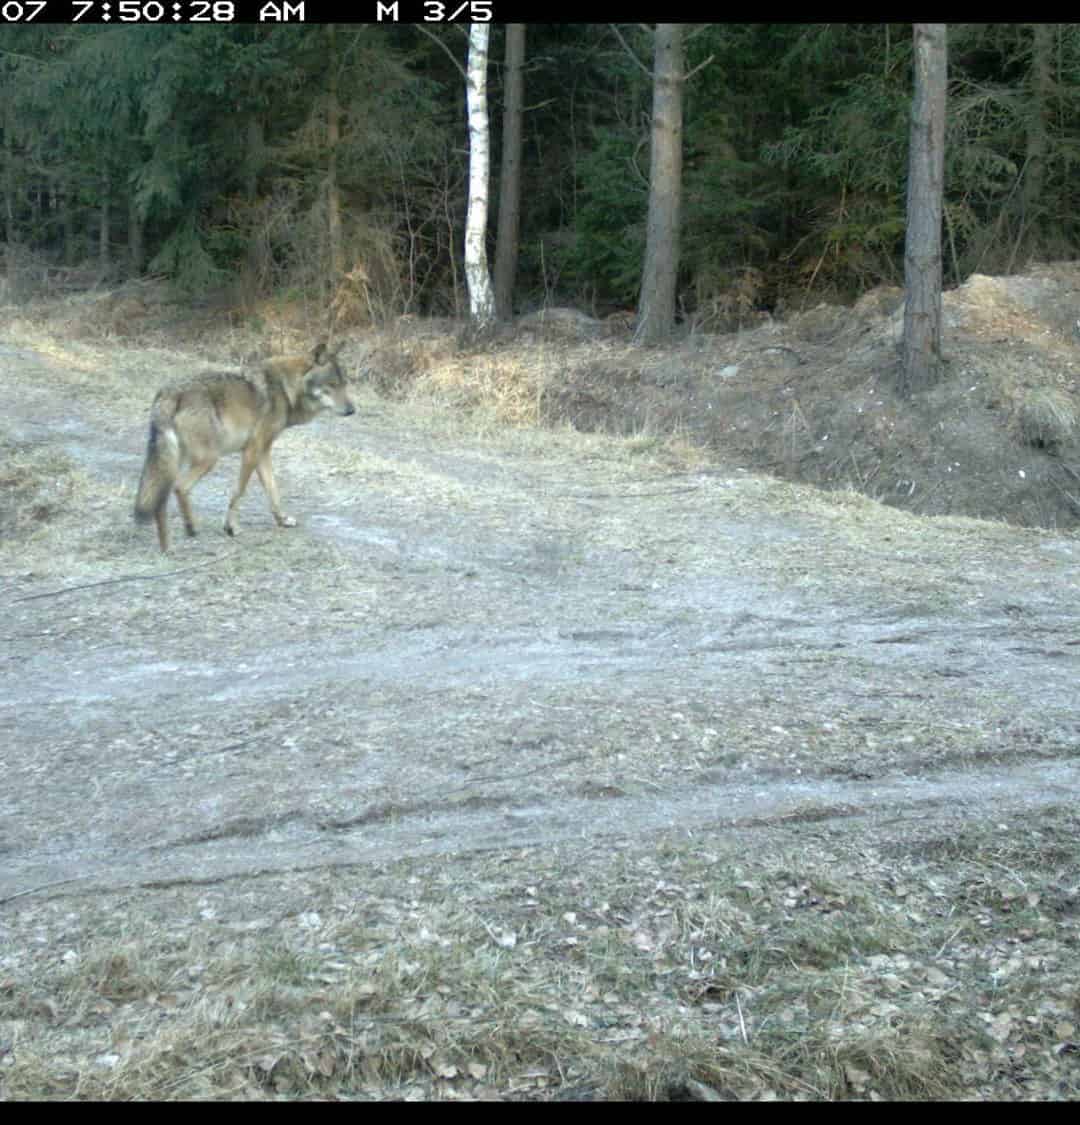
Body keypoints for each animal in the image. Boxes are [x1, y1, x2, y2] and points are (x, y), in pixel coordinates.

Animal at [134, 342, 355, 553]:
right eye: (332, 385)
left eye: (344, 384)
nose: (352, 410)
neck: (286, 389)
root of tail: (169, 393)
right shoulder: (252, 452)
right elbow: (238, 492)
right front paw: (231, 527)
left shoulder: (263, 452)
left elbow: (273, 491)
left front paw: (282, 520)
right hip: (208, 459)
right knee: (179, 488)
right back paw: (190, 528)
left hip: (174, 461)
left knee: (161, 501)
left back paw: (167, 547)